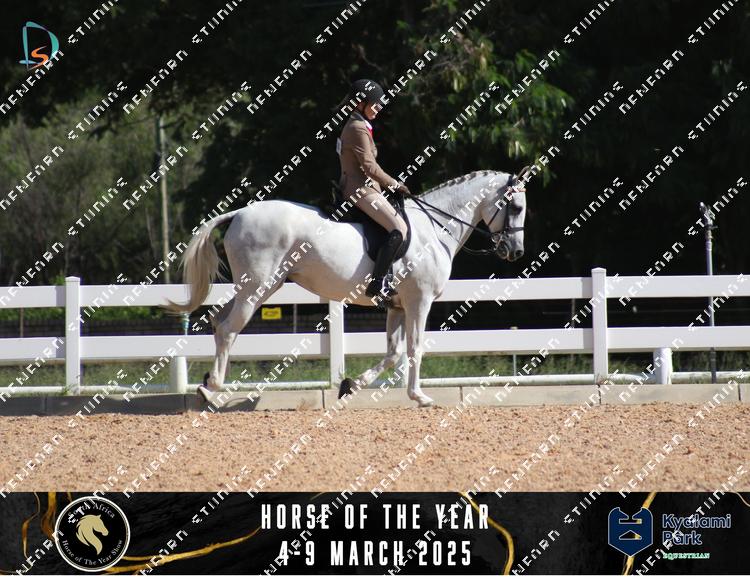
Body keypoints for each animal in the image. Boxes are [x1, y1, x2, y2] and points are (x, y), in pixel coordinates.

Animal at [166, 169, 527, 407]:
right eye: (517, 207)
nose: (515, 251)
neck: (433, 229)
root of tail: (241, 211)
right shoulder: (419, 302)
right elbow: (415, 348)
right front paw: (420, 397)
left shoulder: (397, 306)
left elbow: (394, 353)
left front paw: (351, 385)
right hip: (258, 286)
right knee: (229, 328)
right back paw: (212, 390)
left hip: (257, 287)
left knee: (219, 323)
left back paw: (209, 385)